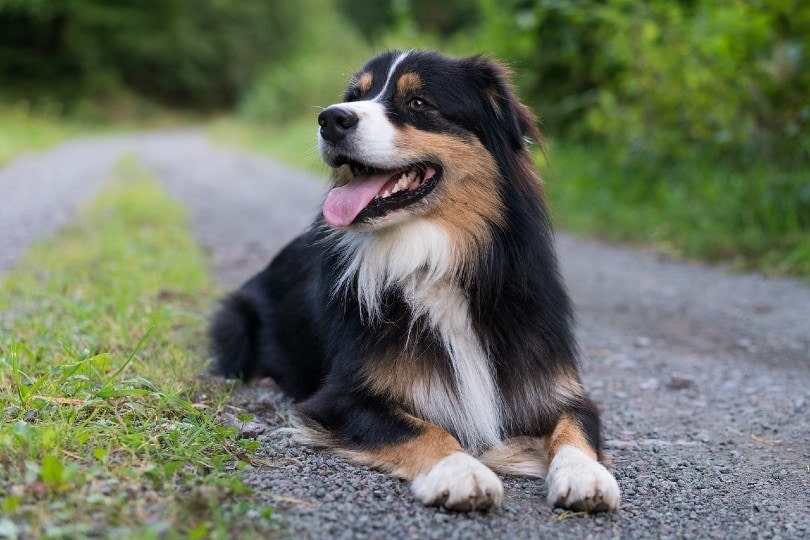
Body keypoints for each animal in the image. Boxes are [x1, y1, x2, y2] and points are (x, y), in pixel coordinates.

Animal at [208, 49, 620, 510]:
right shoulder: (340, 397)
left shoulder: (556, 387)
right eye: (354, 96)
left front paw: (586, 475)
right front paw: (462, 472)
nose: (331, 119)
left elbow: (575, 427)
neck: (434, 261)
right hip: (234, 321)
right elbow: (422, 428)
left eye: (418, 102)